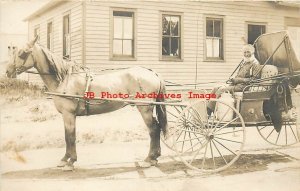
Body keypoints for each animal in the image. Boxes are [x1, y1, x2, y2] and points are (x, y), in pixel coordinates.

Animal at [5, 35, 168, 170]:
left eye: (22, 53)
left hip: (144, 108)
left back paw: (149, 159)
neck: (64, 79)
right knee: (157, 128)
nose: (7, 71)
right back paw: (154, 158)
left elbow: (70, 137)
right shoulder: (67, 116)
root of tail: (153, 73)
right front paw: (65, 159)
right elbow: (67, 136)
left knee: (153, 129)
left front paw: (70, 162)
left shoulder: (69, 114)